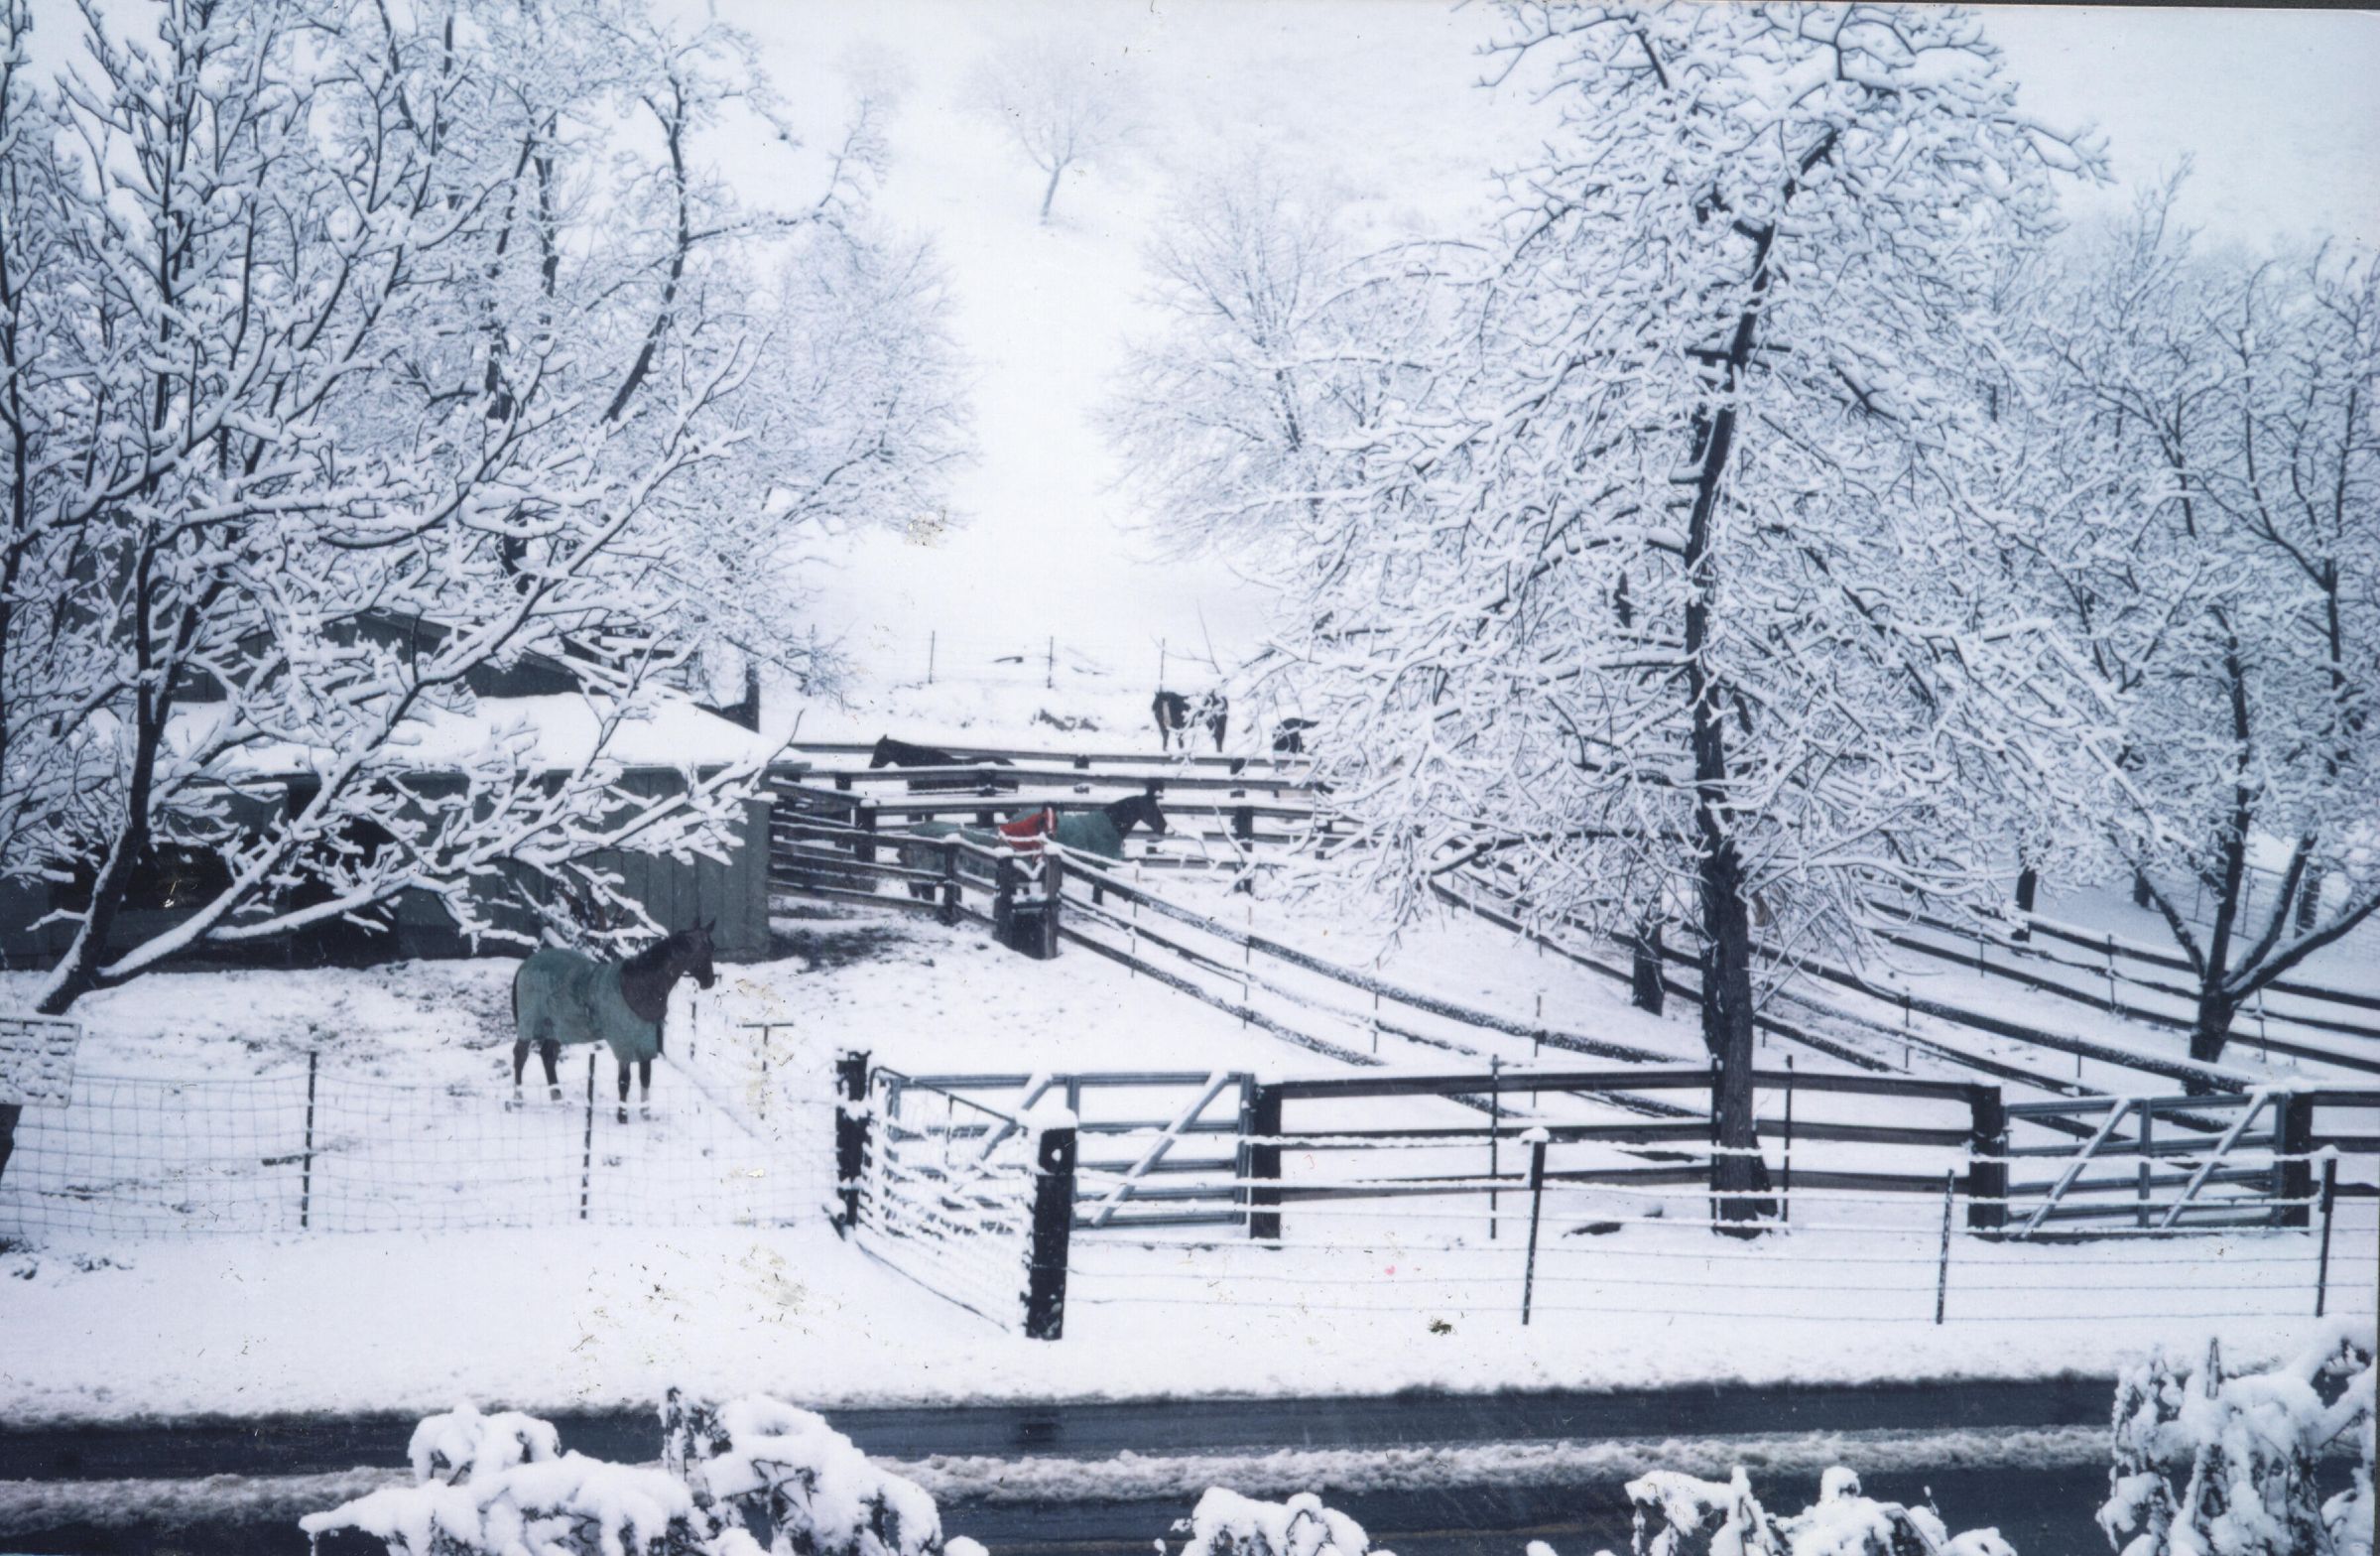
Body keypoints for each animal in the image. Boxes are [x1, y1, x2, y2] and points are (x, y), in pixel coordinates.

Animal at [510, 922, 717, 1121]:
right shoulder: (623, 1043)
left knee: (548, 1057)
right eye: (704, 951)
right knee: (520, 1055)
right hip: (529, 1024)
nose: (710, 982)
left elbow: (645, 1077)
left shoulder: (646, 1041)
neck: (639, 985)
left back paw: (558, 1100)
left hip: (556, 1027)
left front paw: (645, 1115)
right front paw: (622, 1117)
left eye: (712, 949)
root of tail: (525, 964)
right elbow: (624, 1081)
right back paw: (518, 1099)